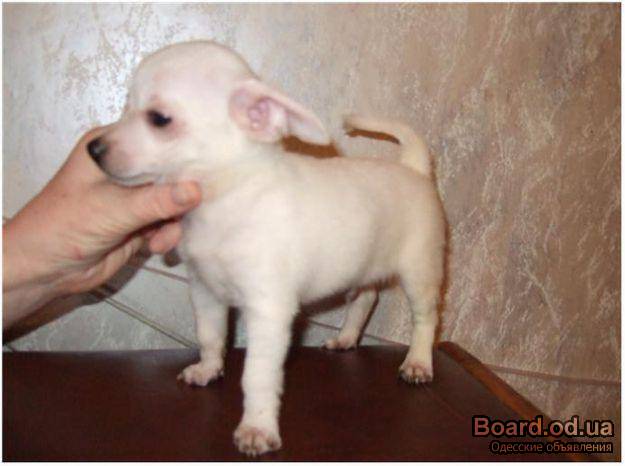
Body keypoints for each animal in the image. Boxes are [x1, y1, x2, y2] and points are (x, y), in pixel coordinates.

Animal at [87, 41, 445, 456]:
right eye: (125, 106)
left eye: (159, 119)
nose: (93, 148)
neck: (225, 198)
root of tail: (415, 169)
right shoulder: (206, 292)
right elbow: (210, 337)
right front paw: (208, 369)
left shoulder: (268, 312)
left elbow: (257, 376)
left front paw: (257, 427)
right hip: (363, 267)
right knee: (365, 298)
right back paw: (346, 338)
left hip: (420, 272)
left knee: (426, 318)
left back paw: (418, 362)